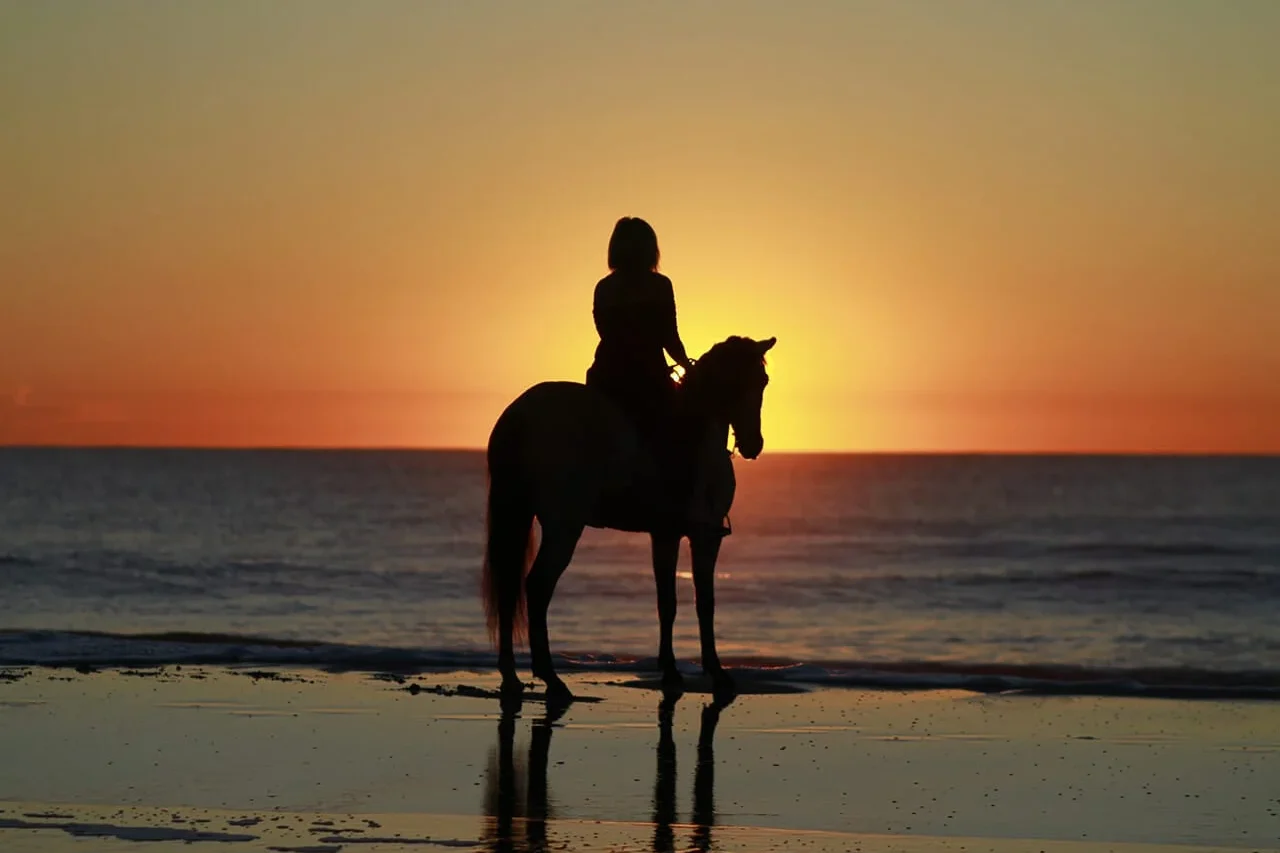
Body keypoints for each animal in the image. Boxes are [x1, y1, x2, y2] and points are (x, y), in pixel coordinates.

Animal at [481, 333, 773, 696]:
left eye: (762, 381)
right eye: (743, 382)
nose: (753, 444)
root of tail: (520, 415)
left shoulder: (665, 534)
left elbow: (667, 602)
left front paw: (671, 671)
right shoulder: (705, 536)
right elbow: (705, 602)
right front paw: (717, 674)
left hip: (518, 513)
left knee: (509, 586)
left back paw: (511, 676)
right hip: (564, 526)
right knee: (537, 586)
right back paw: (551, 678)